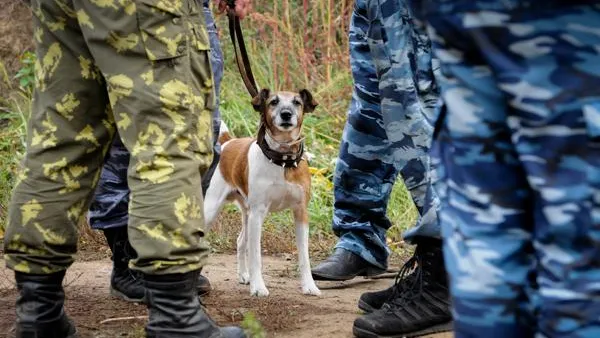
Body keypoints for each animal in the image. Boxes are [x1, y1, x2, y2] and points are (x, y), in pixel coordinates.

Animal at [203, 88, 324, 298]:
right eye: (273, 102)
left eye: (297, 102)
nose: (286, 114)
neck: (283, 160)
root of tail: (228, 143)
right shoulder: (258, 214)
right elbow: (256, 256)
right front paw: (258, 287)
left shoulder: (301, 212)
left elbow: (304, 257)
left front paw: (310, 286)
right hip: (214, 208)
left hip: (246, 213)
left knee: (240, 241)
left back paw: (244, 275)